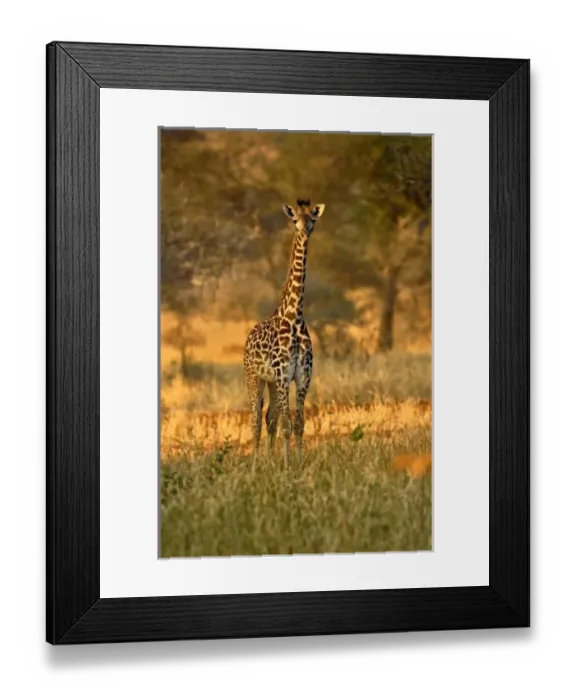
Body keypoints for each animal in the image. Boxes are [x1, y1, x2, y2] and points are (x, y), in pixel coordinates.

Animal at [243, 199, 325, 468]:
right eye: (294, 220)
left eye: (313, 219)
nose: (304, 231)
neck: (294, 317)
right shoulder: (282, 375)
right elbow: (286, 427)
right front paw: (288, 467)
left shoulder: (302, 376)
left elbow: (298, 424)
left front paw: (297, 463)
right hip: (254, 377)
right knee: (256, 420)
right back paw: (255, 464)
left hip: (269, 381)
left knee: (269, 417)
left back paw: (268, 461)